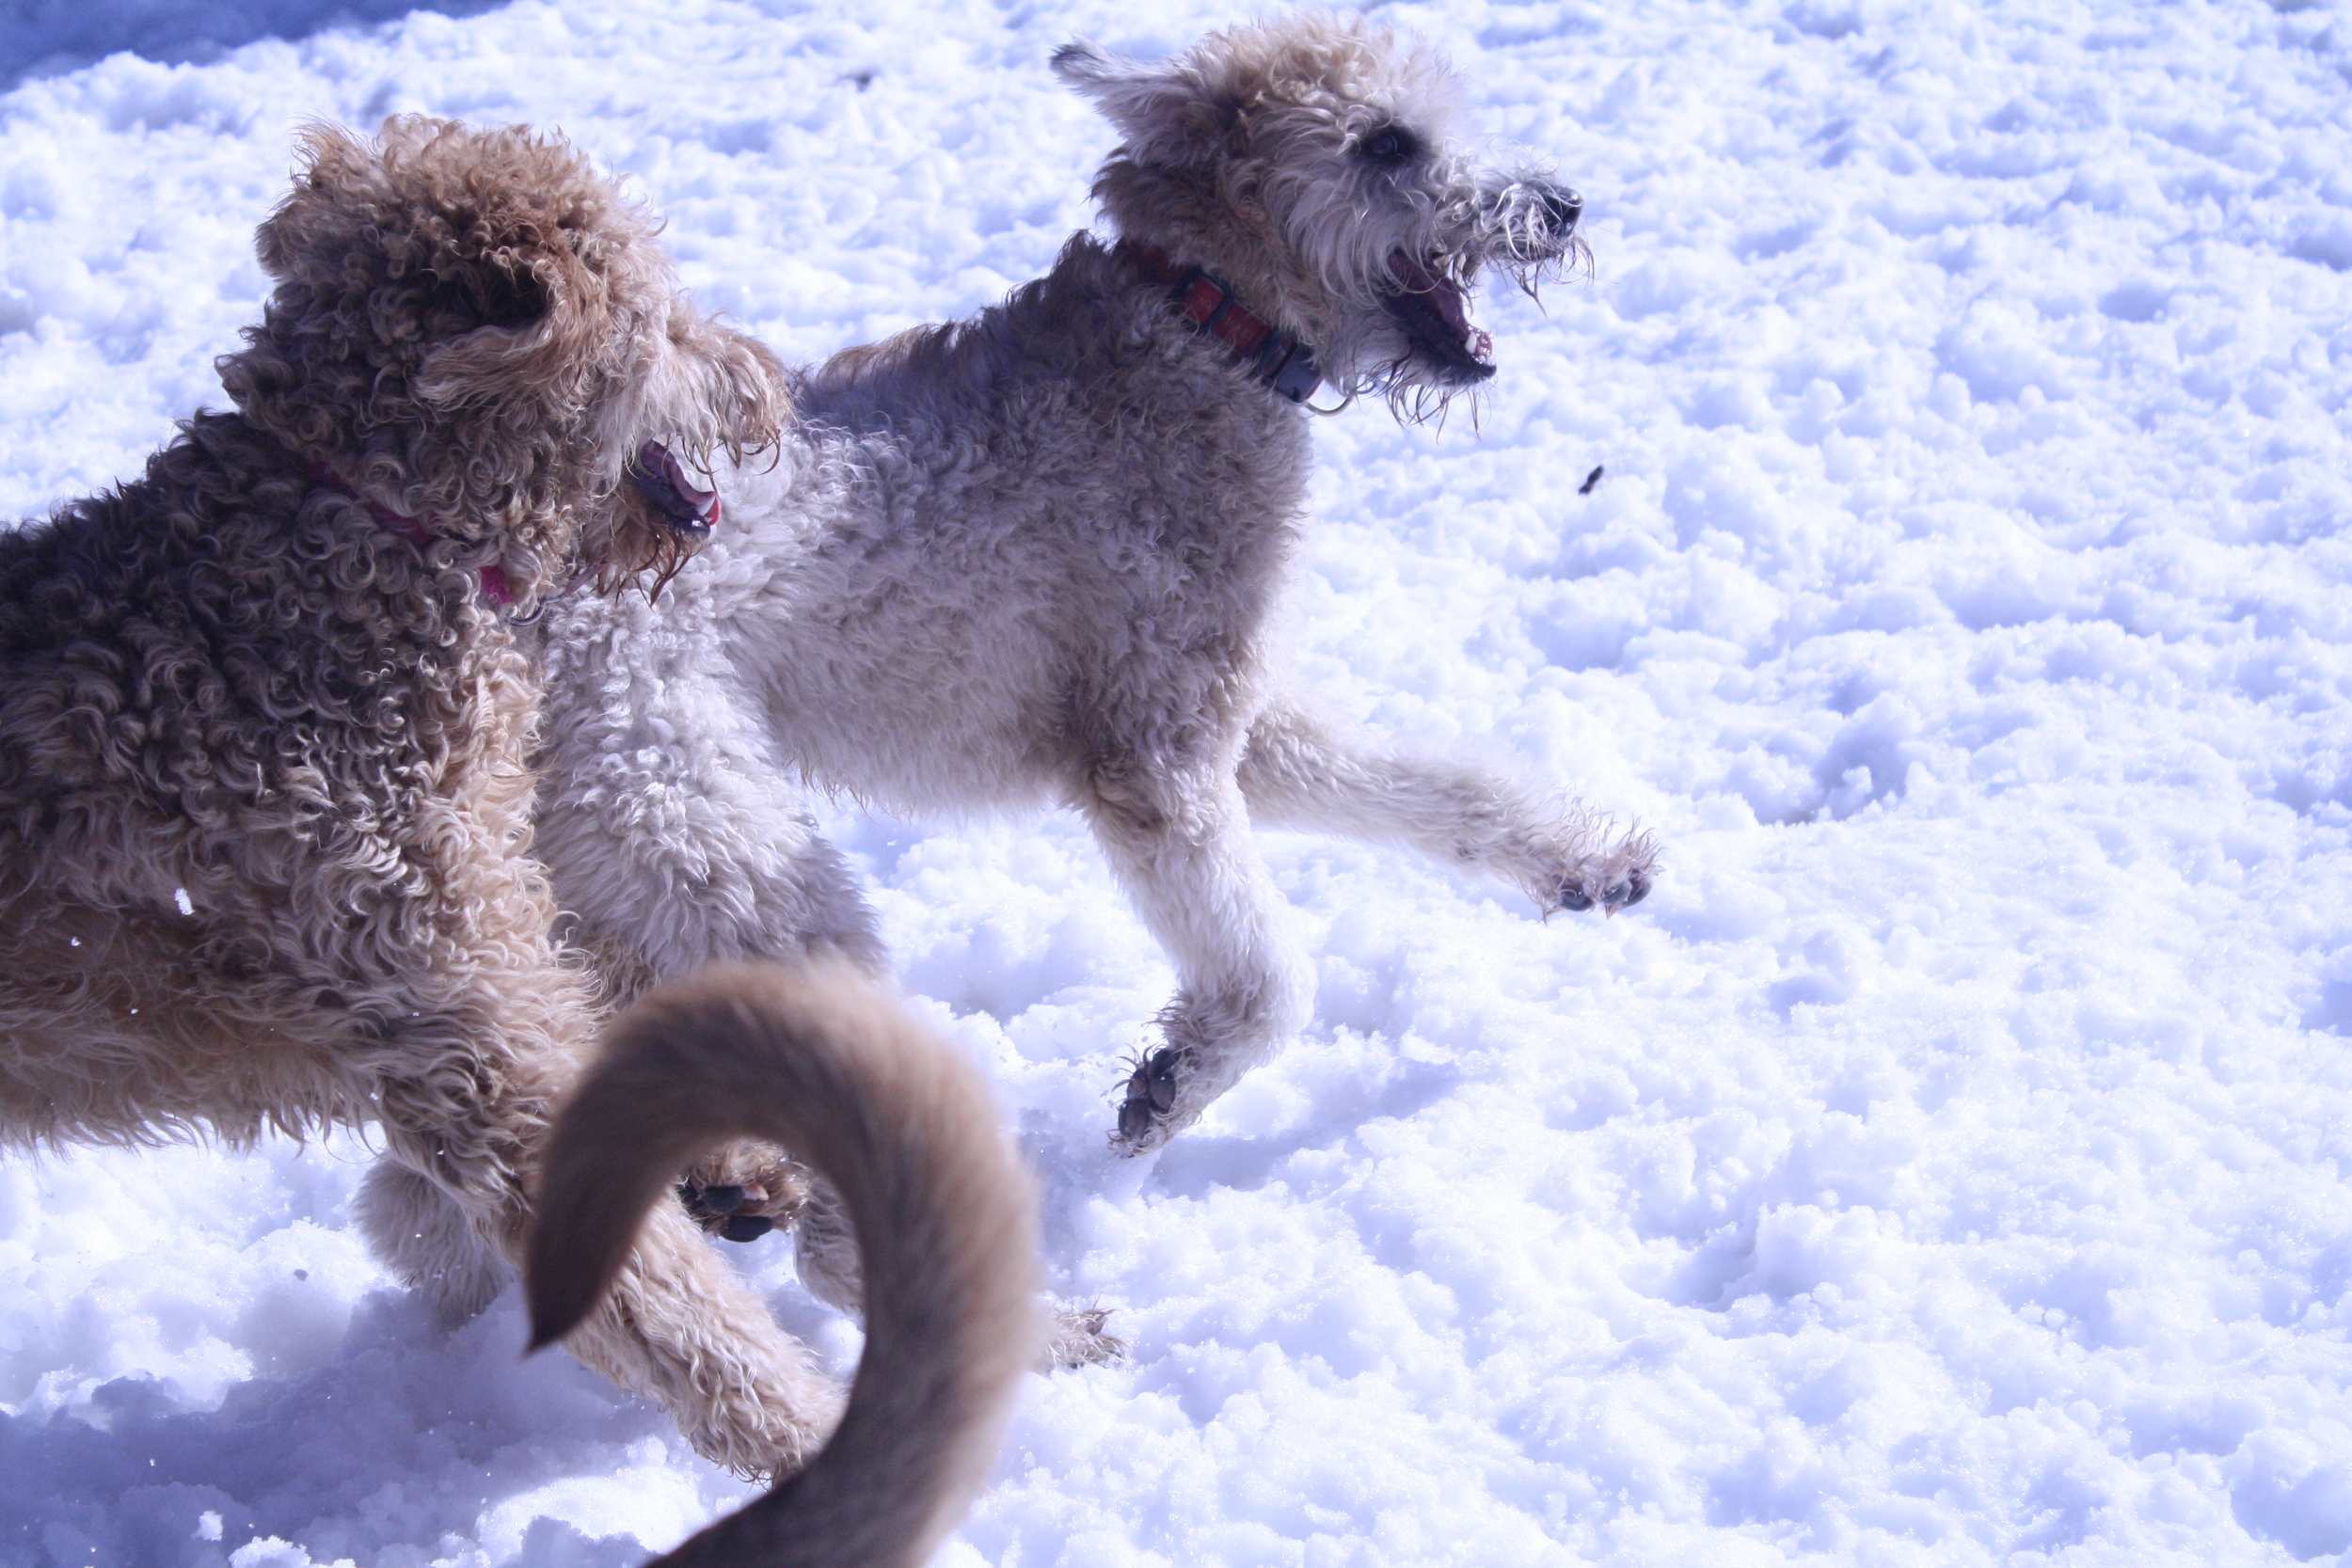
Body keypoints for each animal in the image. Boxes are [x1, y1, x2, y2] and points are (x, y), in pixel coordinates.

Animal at [0, 122, 847, 1485]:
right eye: (661, 322)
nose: (769, 383)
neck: (357, 547)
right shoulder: (446, 1019)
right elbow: (666, 1303)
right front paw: (824, 1438)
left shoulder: (454, 971)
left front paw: (736, 1162)